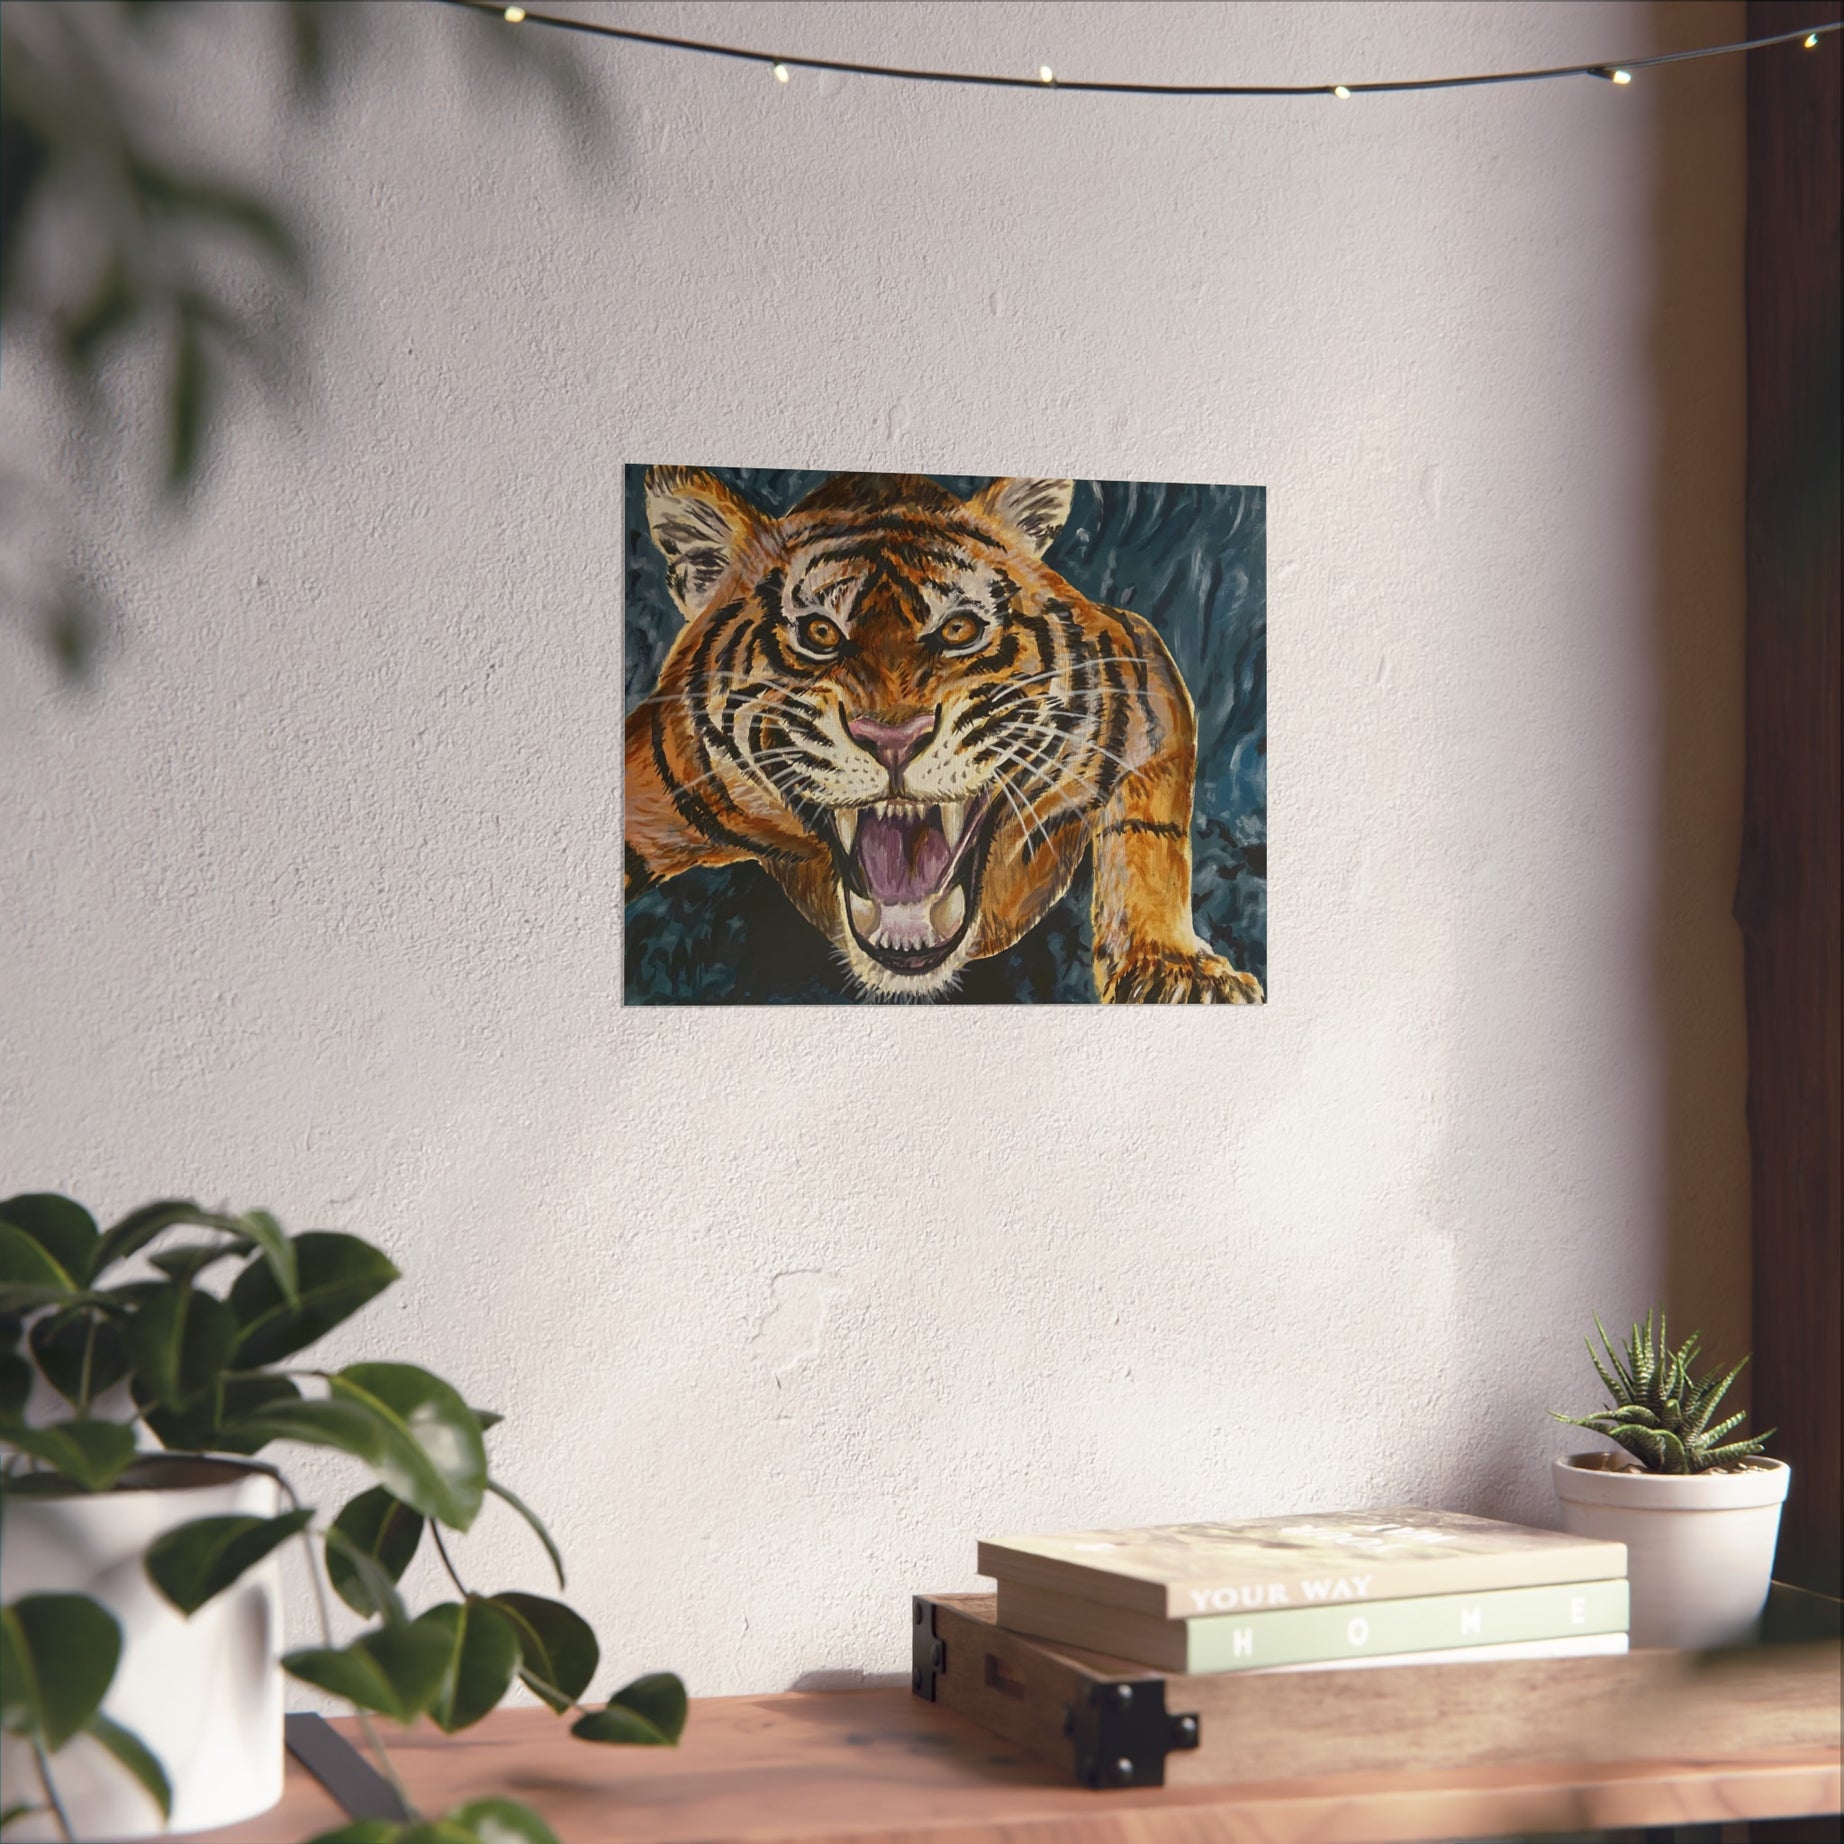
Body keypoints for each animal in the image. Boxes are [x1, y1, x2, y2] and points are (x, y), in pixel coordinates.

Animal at [624, 469, 1264, 1005]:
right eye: (819, 633)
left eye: (959, 629)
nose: (892, 737)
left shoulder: (1142, 663)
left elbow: (1151, 834)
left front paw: (1177, 971)